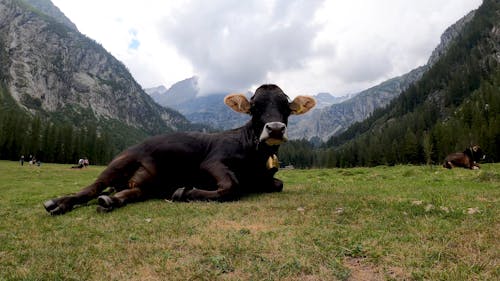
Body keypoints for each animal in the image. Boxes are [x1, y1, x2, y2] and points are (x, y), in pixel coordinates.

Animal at [44, 83, 316, 214]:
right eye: (254, 107)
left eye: (286, 107)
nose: (275, 128)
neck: (255, 158)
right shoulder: (213, 161)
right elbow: (232, 185)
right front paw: (185, 192)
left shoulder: (267, 178)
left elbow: (278, 184)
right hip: (119, 163)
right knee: (90, 188)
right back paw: (59, 203)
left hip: (146, 184)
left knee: (126, 192)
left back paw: (111, 200)